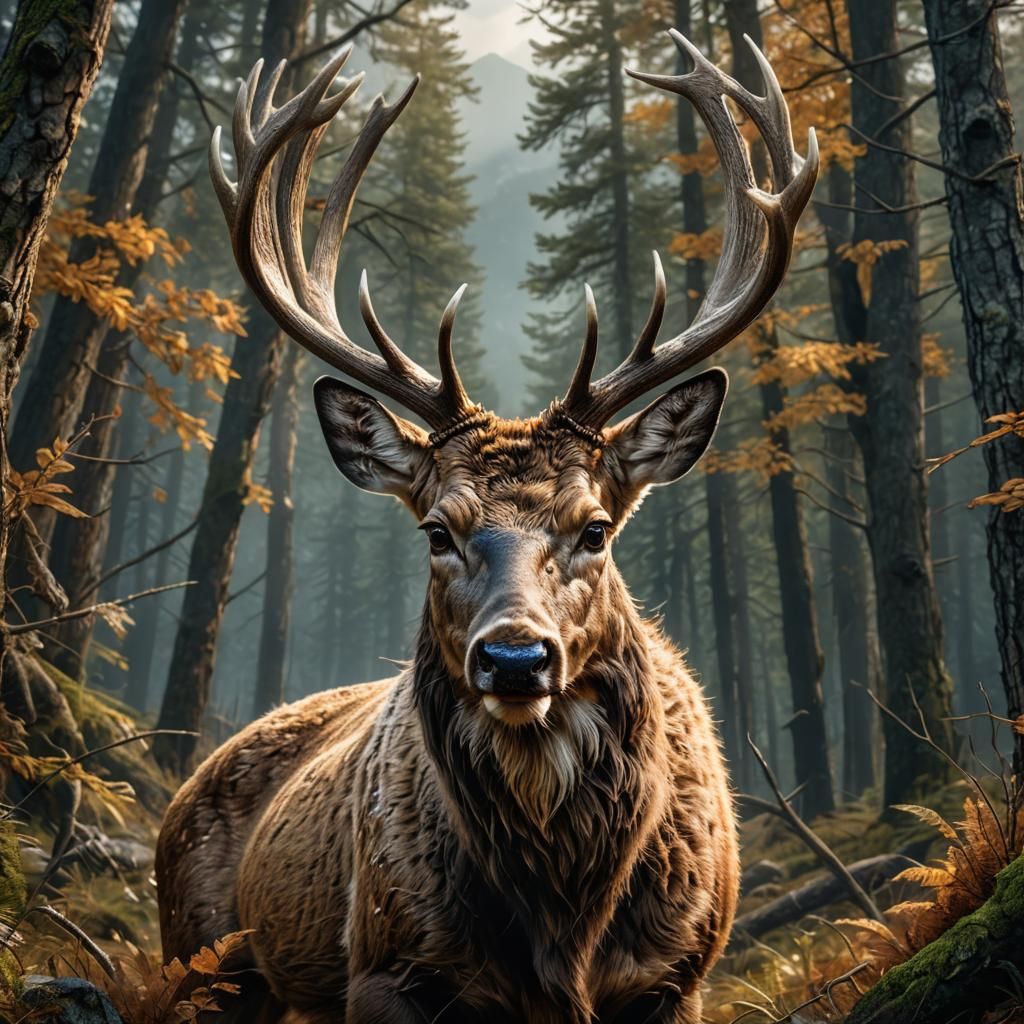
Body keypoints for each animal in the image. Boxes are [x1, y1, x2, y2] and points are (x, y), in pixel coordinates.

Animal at [156, 30, 816, 1024]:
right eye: (437, 530)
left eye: (595, 528)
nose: (514, 658)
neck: (563, 928)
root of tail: (178, 793)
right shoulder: (388, 965)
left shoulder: (682, 971)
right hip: (200, 964)